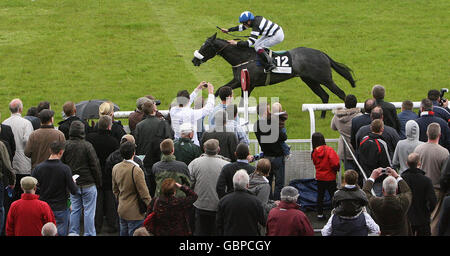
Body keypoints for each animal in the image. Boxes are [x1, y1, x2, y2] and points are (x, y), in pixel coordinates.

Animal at [192, 33, 356, 118]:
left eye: (206, 46)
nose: (194, 60)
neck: (243, 57)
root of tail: (323, 54)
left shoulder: (249, 83)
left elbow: (242, 101)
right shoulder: (238, 80)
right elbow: (220, 89)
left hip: (325, 78)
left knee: (341, 93)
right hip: (310, 80)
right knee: (324, 96)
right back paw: (321, 116)